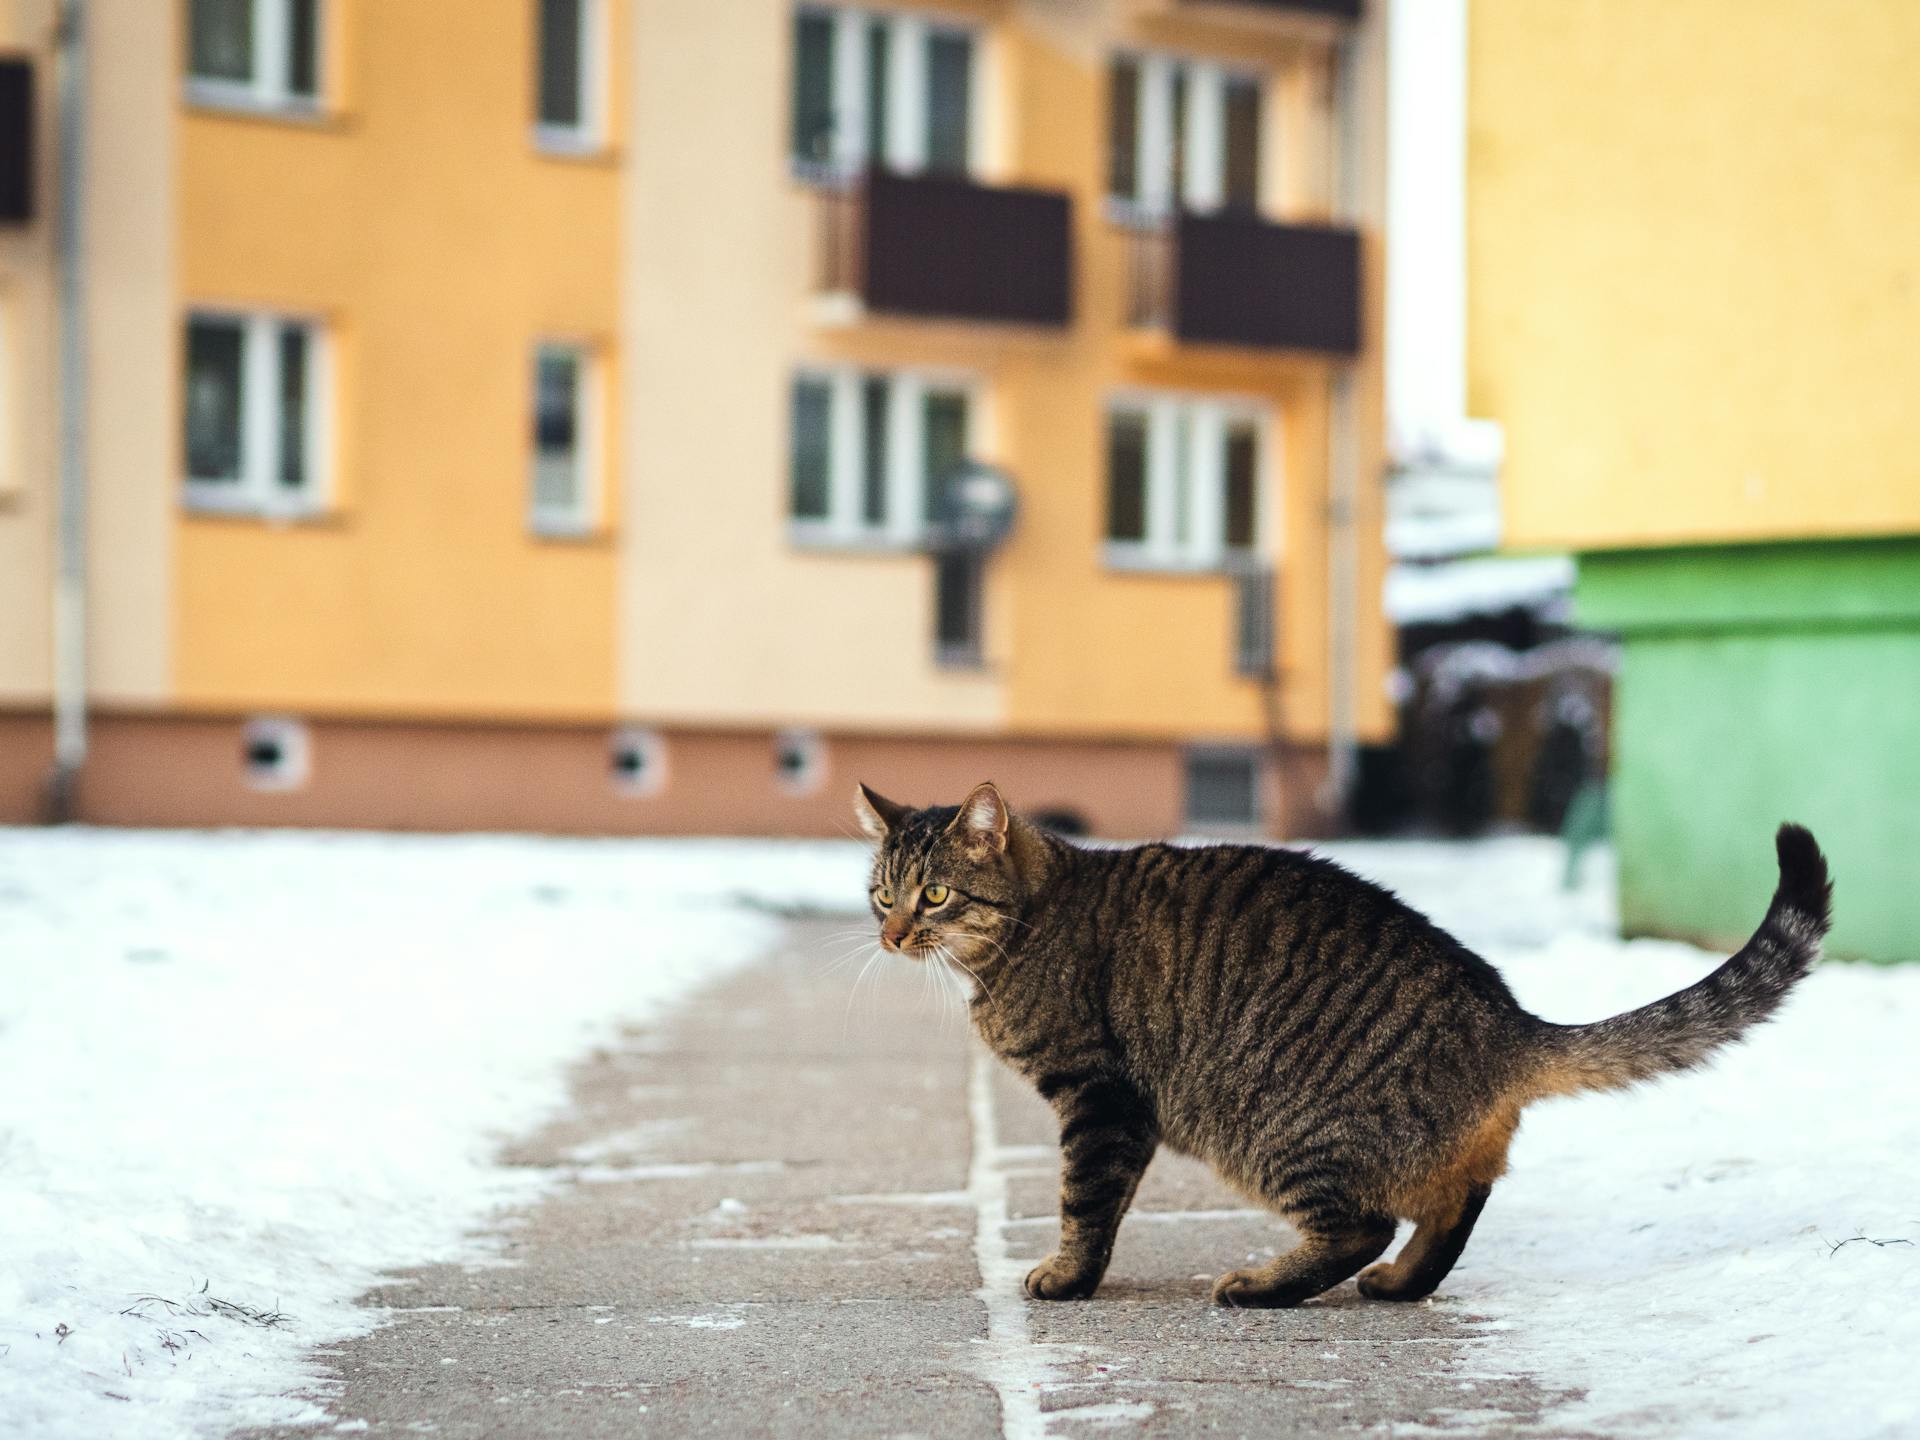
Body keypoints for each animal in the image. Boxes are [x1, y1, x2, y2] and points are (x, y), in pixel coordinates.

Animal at [856, 783, 1827, 1313]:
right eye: (880, 894)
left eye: (936, 894)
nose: (892, 935)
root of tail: (1505, 1018)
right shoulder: (1117, 1112)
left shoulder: (1101, 1099)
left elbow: (1084, 1204)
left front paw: (1066, 1278)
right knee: (1458, 1200)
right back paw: (1401, 1285)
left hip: (1279, 1130)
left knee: (1364, 1224)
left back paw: (1261, 1286)